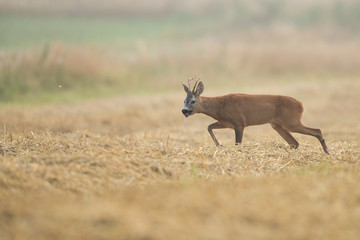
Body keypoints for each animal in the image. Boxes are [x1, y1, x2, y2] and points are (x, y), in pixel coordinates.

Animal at [181, 78, 330, 155]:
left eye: (193, 101)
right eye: (184, 100)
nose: (184, 110)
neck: (219, 107)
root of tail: (301, 105)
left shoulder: (239, 122)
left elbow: (238, 143)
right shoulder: (224, 122)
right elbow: (209, 127)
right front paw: (219, 144)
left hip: (291, 121)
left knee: (317, 130)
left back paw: (327, 151)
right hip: (277, 125)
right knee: (294, 143)